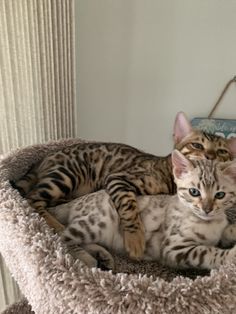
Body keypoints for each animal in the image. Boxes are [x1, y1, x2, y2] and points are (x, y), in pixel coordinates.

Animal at [11, 111, 236, 258]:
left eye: (222, 152)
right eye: (197, 145)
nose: (210, 156)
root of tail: (43, 158)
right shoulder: (118, 178)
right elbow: (129, 206)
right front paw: (135, 239)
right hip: (65, 176)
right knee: (32, 199)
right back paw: (56, 226)